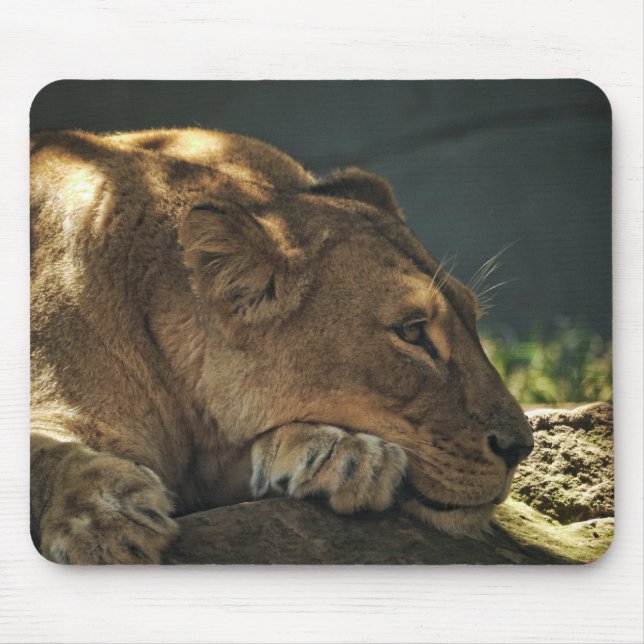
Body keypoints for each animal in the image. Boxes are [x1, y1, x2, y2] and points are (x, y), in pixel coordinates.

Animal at [30, 128, 534, 564]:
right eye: (412, 332)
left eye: (473, 321)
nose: (520, 448)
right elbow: (47, 449)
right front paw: (102, 521)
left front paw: (338, 453)